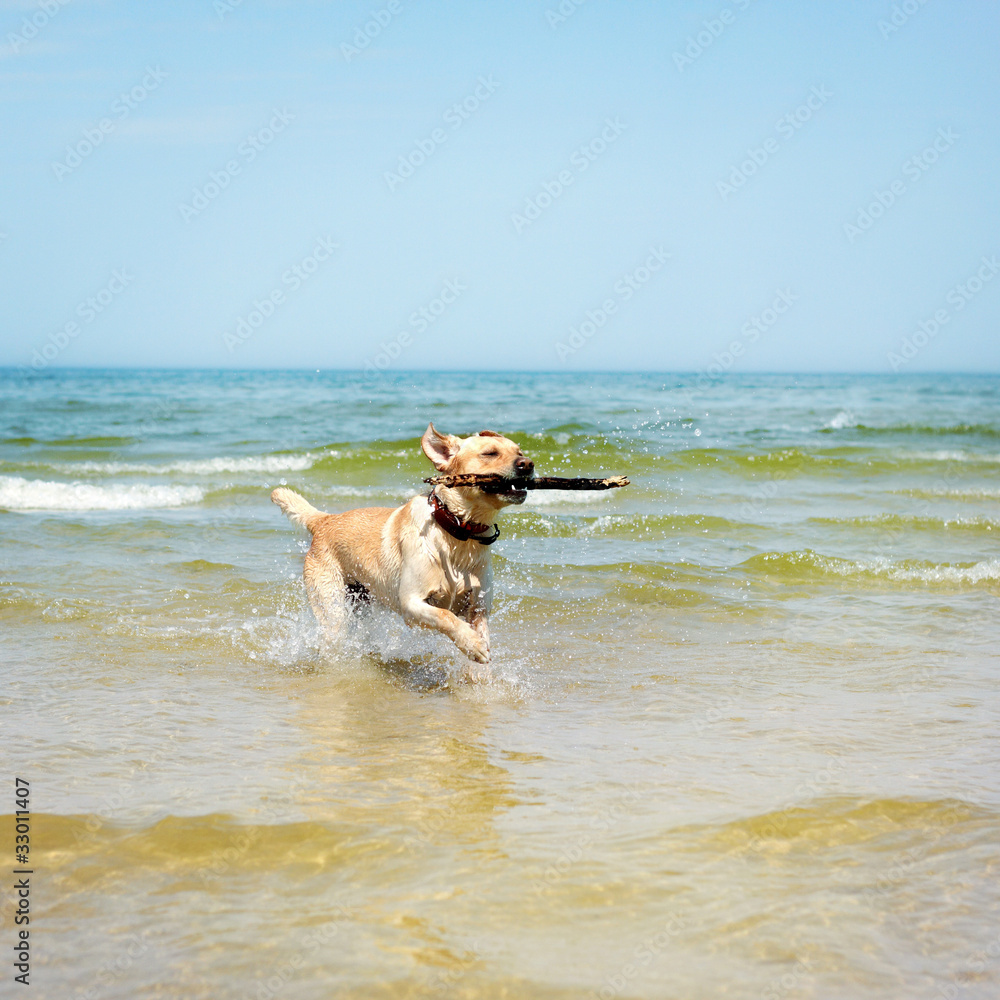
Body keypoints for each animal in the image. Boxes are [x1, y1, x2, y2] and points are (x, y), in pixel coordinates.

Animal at [274, 418, 532, 676]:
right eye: (490, 453)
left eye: (519, 452)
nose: (528, 464)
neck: (458, 533)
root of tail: (324, 520)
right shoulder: (411, 603)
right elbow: (445, 616)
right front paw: (473, 644)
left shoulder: (479, 606)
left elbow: (480, 628)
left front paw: (479, 658)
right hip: (333, 607)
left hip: (361, 603)